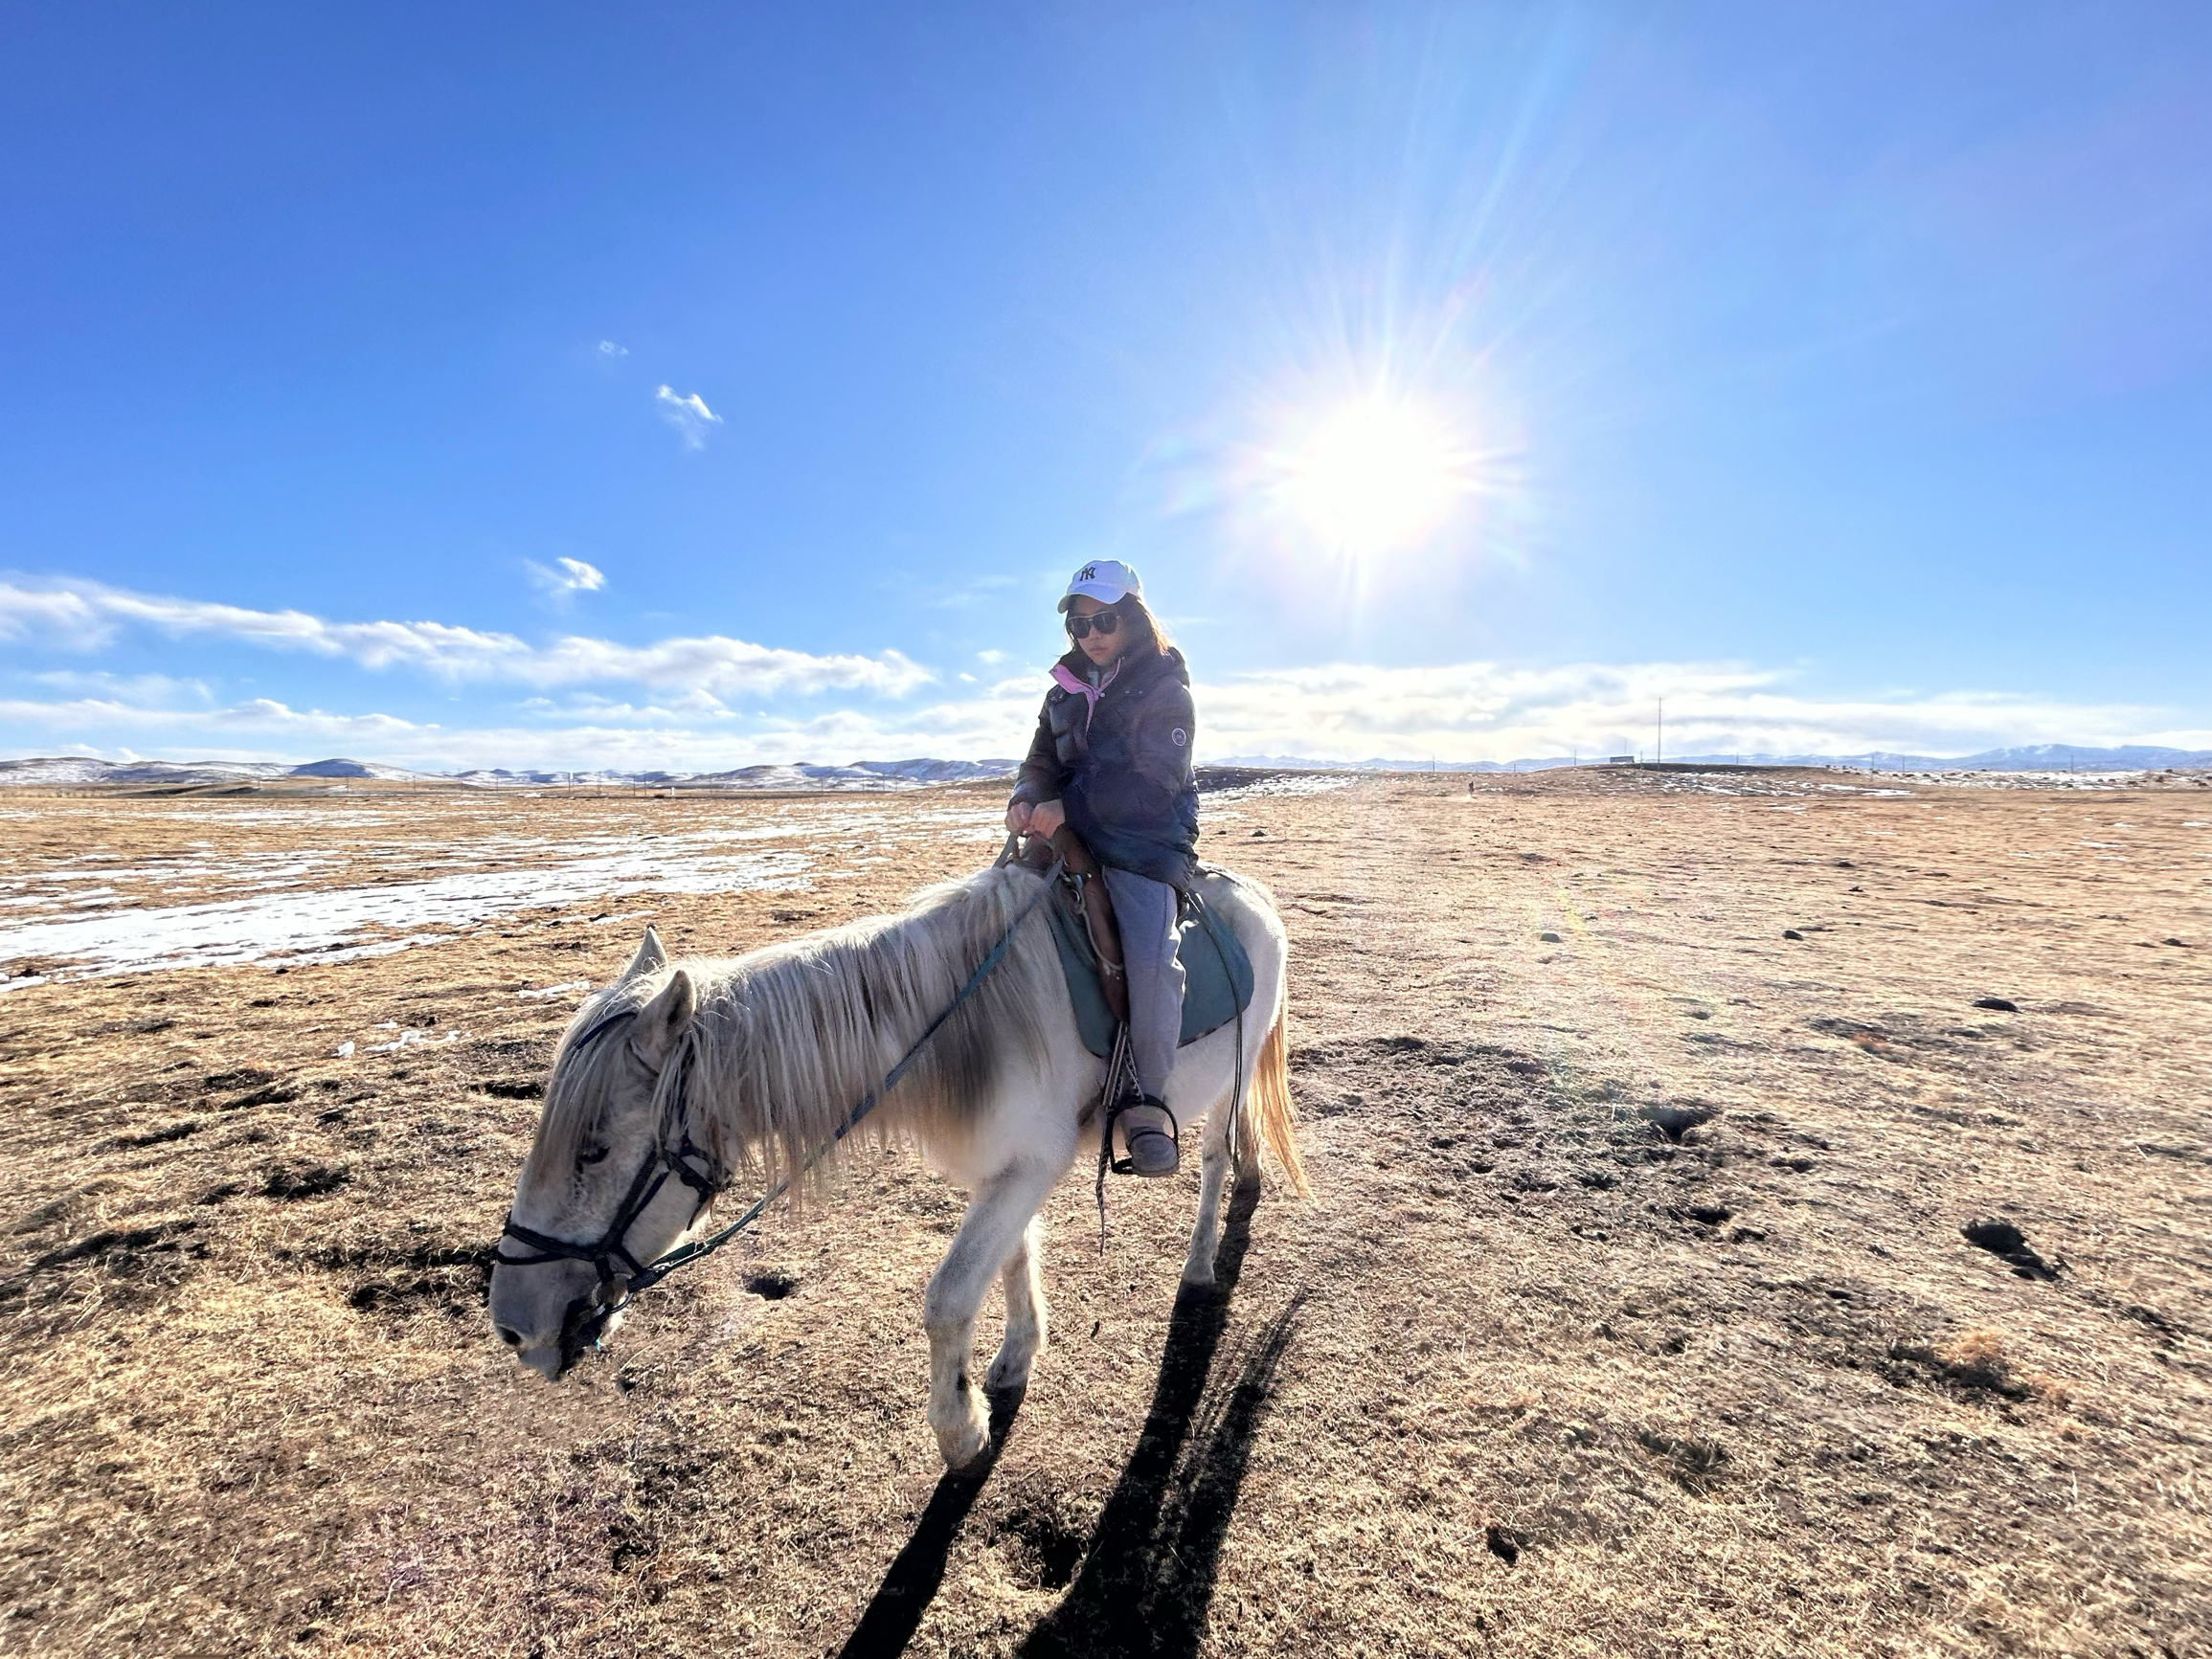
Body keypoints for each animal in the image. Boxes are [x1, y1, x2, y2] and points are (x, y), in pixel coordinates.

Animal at [488, 863, 1292, 1477]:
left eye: (593, 1149)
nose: (514, 1327)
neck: (966, 1025)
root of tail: (1253, 891)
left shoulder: (1028, 1165)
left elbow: (947, 1299)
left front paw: (961, 1430)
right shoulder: (1006, 1169)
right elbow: (1011, 1258)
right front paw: (1016, 1355)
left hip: (1232, 1075)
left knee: (1216, 1156)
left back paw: (1199, 1261)